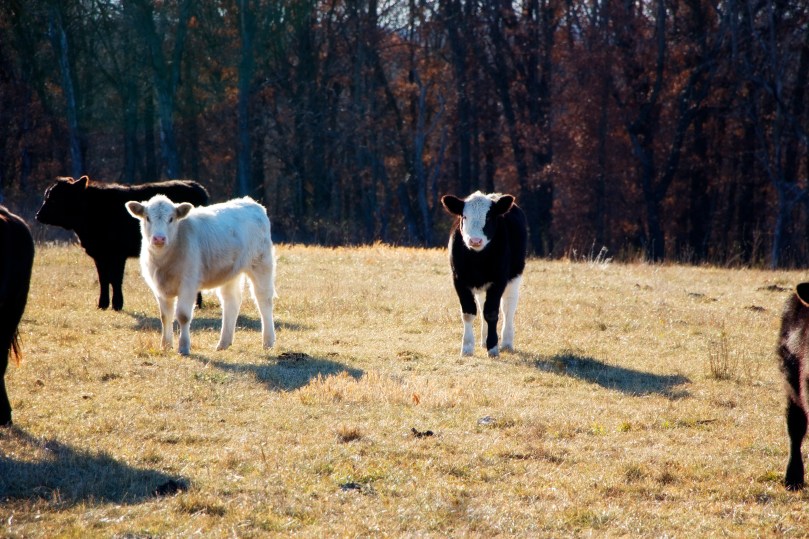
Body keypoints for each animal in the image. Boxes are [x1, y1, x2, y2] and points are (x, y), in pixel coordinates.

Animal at [36, 176, 208, 311]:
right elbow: (104, 279)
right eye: (47, 196)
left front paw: (117, 304)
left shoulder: (117, 254)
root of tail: (196, 185)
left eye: (55, 198)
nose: (38, 215)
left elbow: (116, 279)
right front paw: (103, 304)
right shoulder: (100, 254)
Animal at [125, 195, 276, 356]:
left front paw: (184, 347)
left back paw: (268, 341)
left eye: (171, 219)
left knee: (263, 300)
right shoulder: (160, 288)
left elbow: (183, 315)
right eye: (147, 218)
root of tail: (252, 203)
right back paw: (224, 343)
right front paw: (165, 345)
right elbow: (165, 316)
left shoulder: (188, 284)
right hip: (230, 273)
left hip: (261, 264)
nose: (159, 238)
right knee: (231, 301)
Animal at [441, 191, 527, 357]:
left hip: (515, 275)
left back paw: (506, 342)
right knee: (481, 306)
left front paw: (493, 347)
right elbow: (469, 312)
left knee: (508, 307)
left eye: (489, 217)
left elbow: (492, 313)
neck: (477, 259)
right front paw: (467, 347)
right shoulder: (459, 279)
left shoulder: (499, 280)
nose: (475, 240)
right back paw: (483, 339)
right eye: (464, 216)